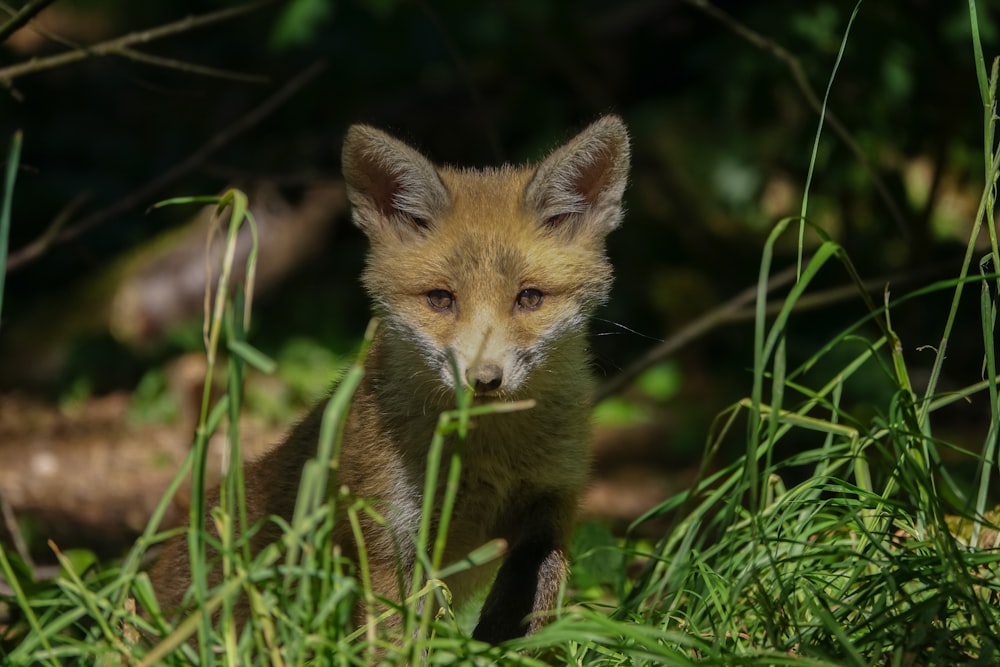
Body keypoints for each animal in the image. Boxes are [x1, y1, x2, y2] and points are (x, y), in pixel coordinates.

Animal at [147, 116, 628, 648]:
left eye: (530, 298)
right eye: (440, 298)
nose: (484, 379)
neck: (488, 455)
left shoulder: (555, 500)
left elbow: (538, 589)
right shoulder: (390, 535)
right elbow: (396, 637)